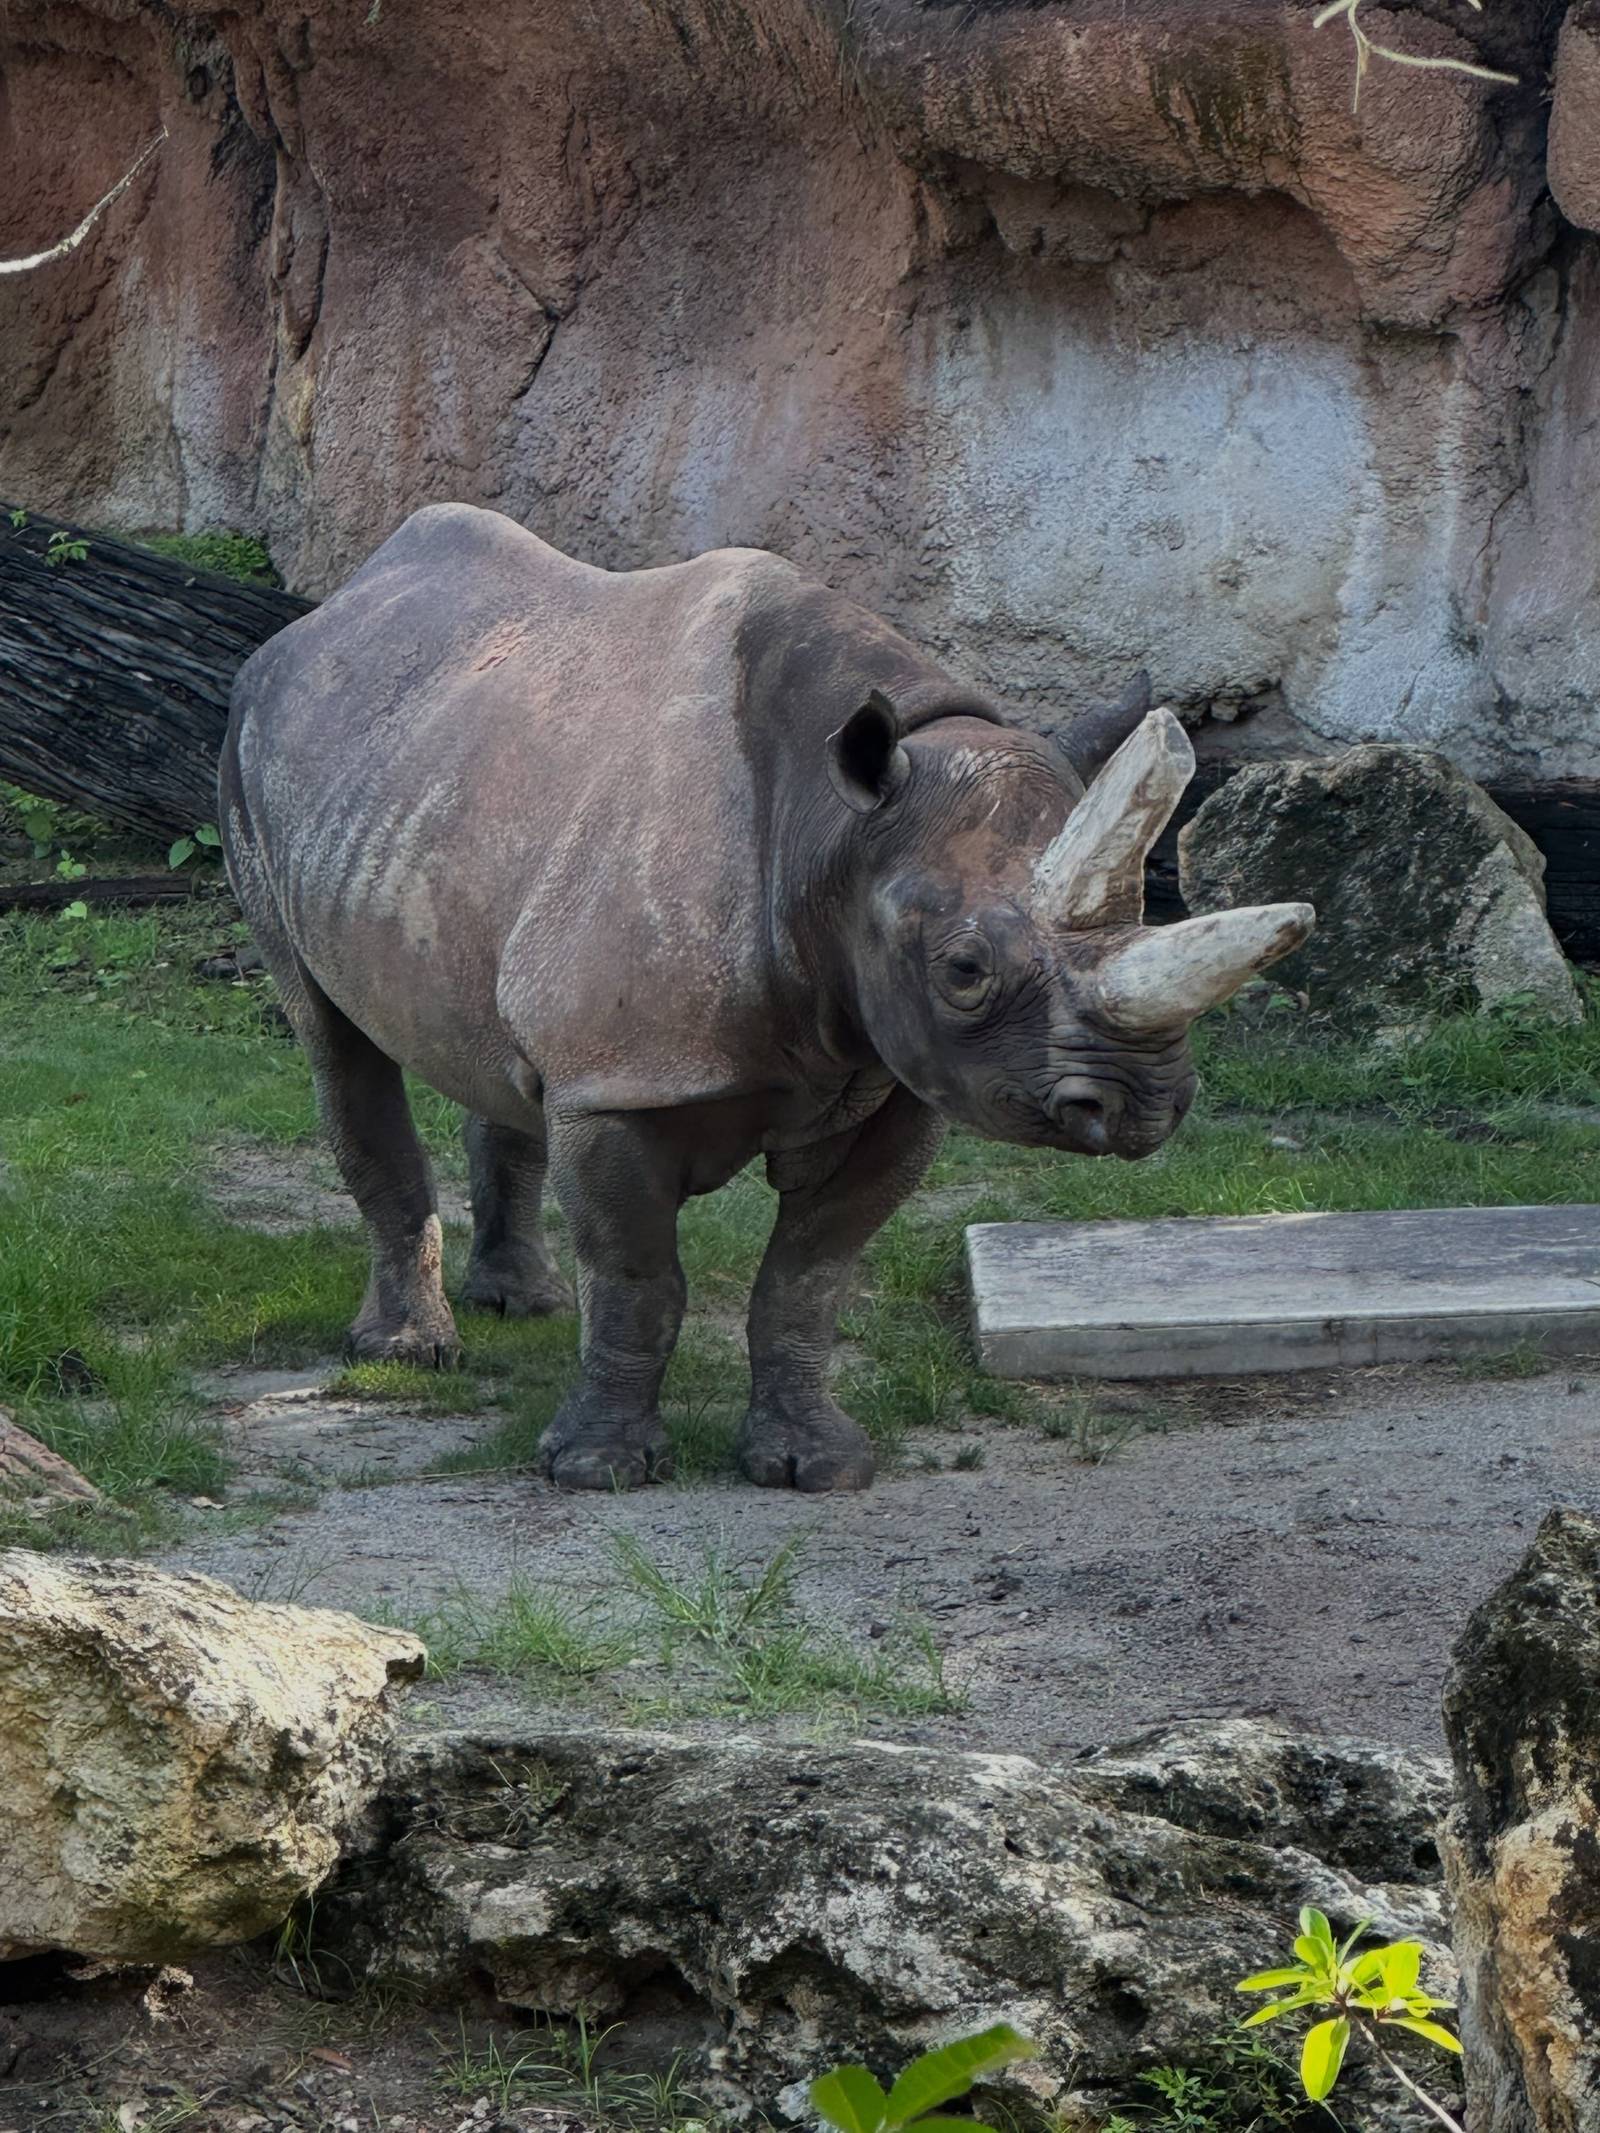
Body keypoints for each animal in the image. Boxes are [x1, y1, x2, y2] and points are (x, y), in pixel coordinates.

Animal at [221, 504, 1311, 1492]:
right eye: (963, 970)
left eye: (1144, 909)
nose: (1142, 1106)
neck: (838, 827)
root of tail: (328, 614)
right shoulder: (626, 1082)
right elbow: (638, 1279)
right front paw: (598, 1470)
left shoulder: (886, 1080)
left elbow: (807, 1279)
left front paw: (813, 1466)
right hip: (249, 746)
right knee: (333, 1038)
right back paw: (408, 1352)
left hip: (439, 776)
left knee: (506, 1054)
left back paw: (521, 1302)